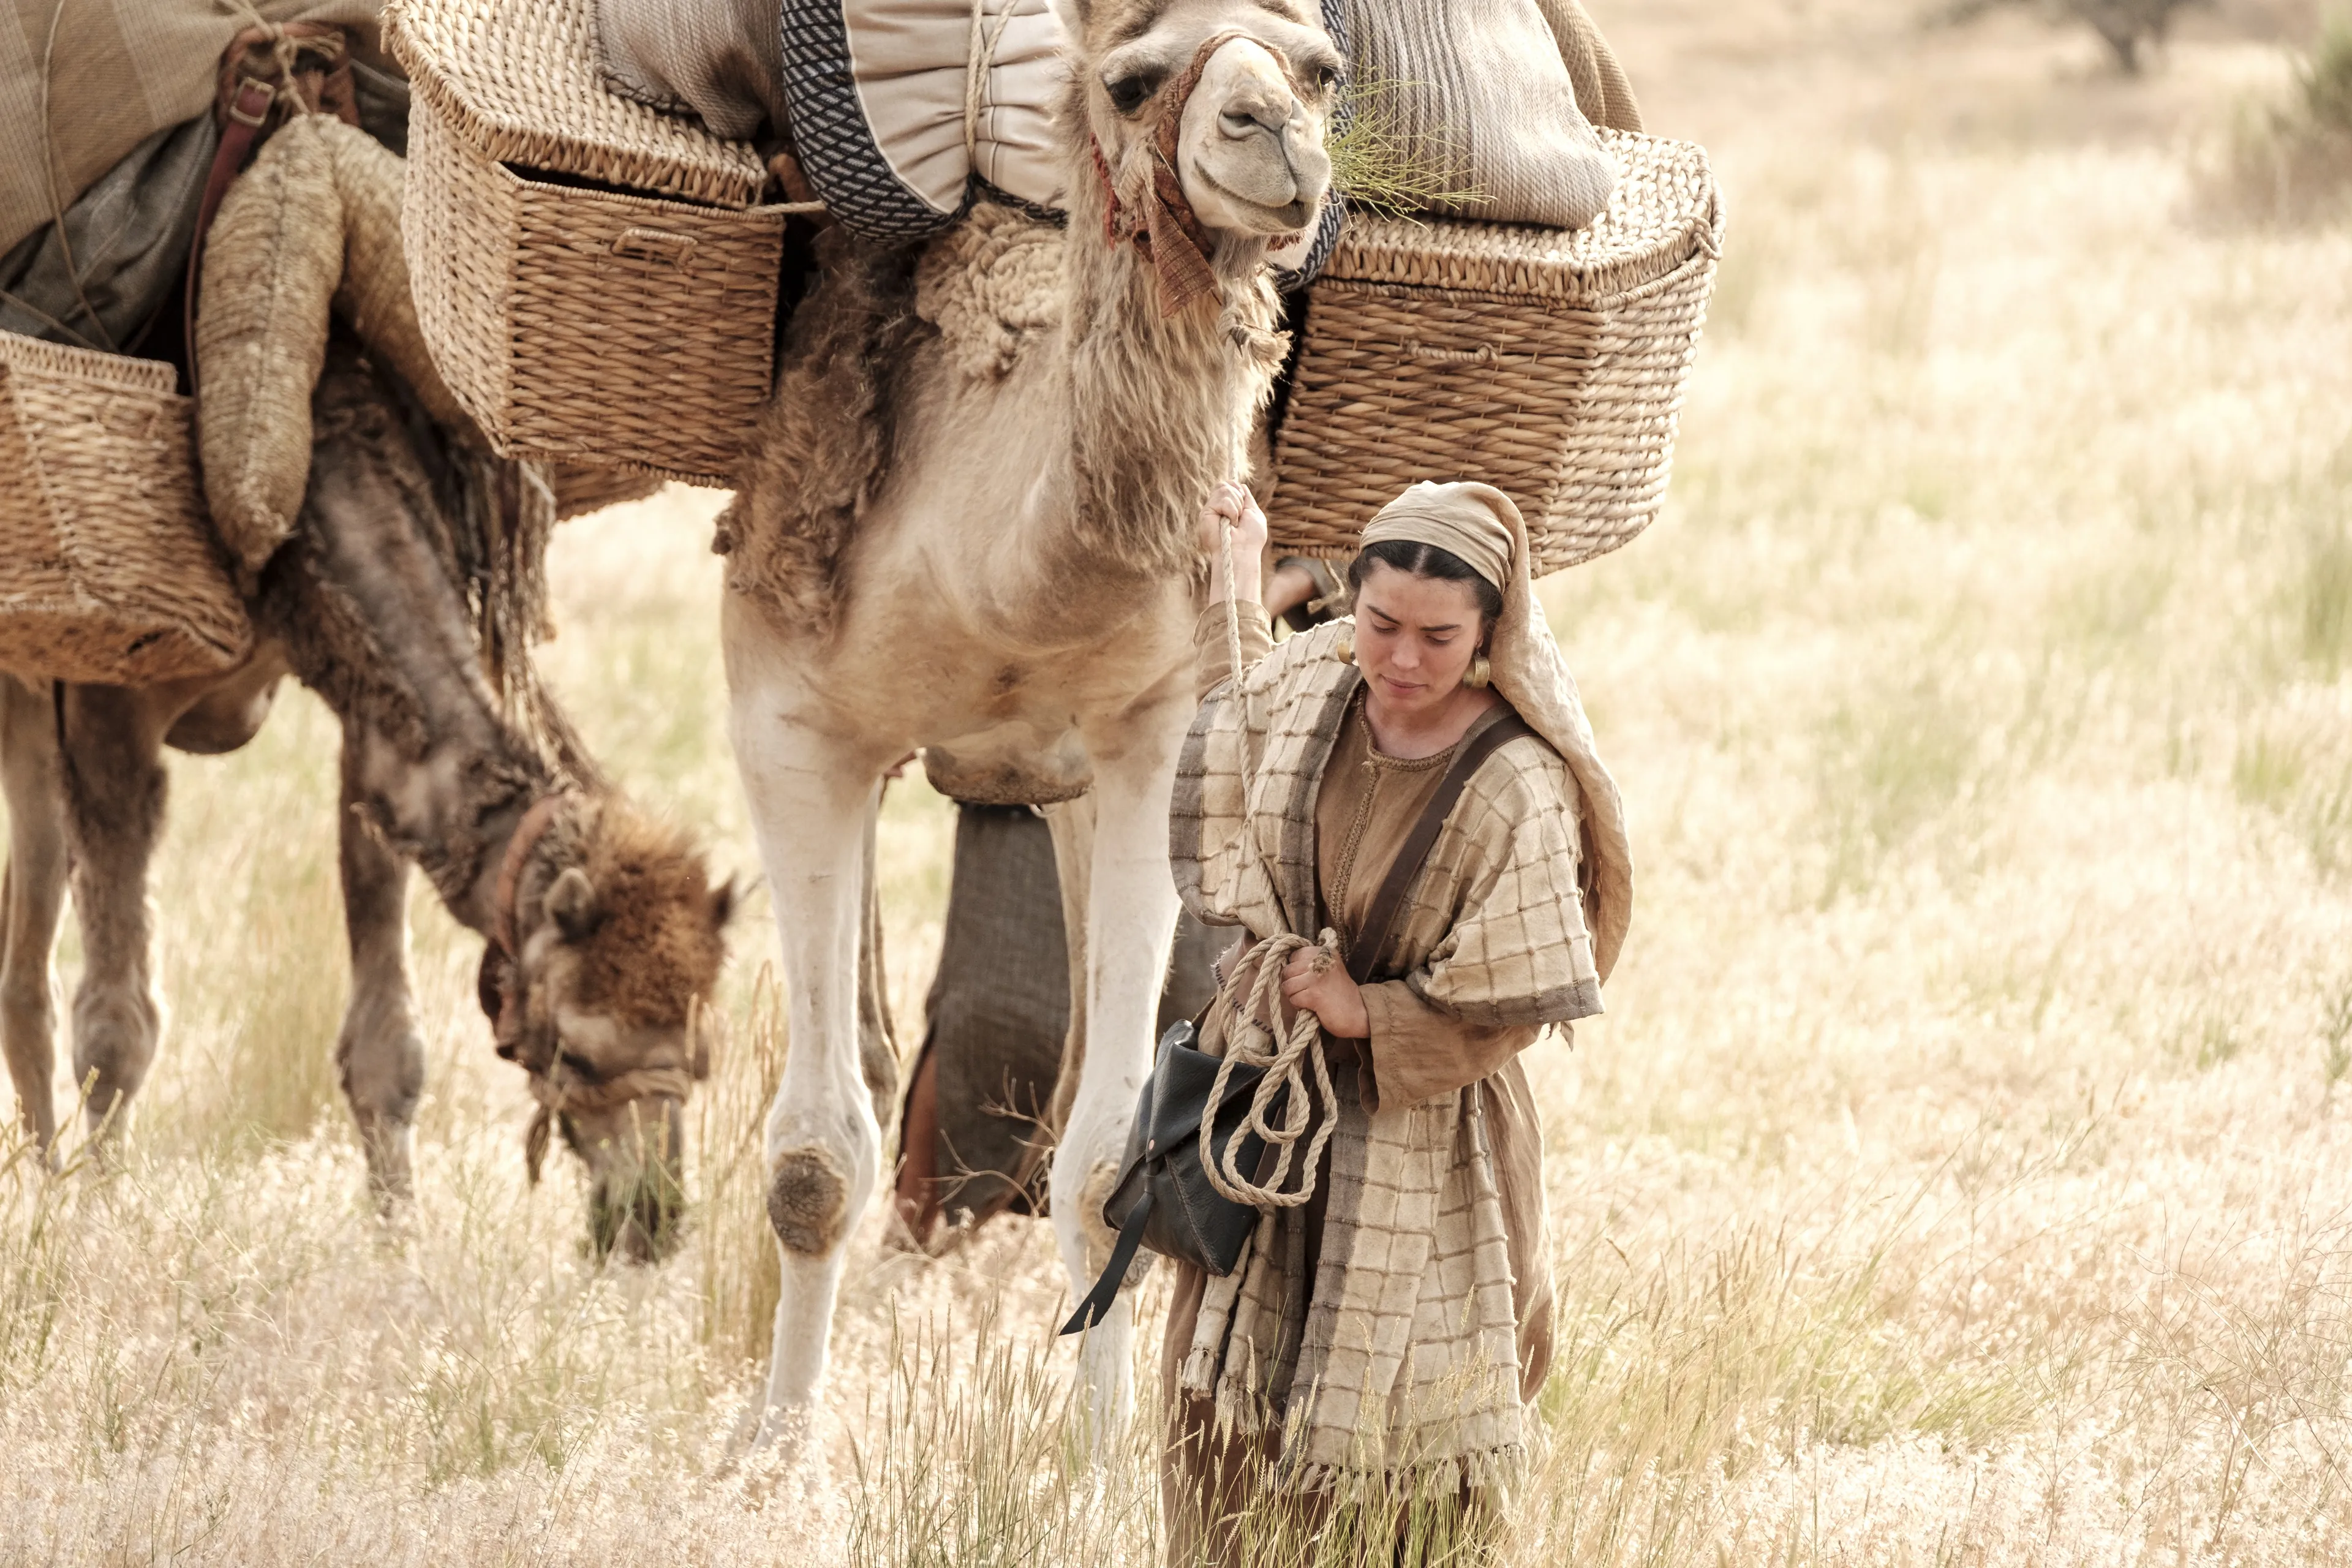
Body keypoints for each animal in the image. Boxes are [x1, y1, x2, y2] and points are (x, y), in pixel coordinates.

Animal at [0, 339, 734, 1261]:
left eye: (702, 1049)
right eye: (578, 1052)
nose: (652, 1216)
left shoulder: (373, 724)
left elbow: (391, 1040)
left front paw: (400, 1251)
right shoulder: (110, 696)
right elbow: (116, 1025)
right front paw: (93, 1235)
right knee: (32, 972)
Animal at [718, 0, 1340, 1440]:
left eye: (1324, 66)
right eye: (1133, 80)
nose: (1271, 134)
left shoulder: (1153, 734)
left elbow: (1113, 1163)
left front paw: (1107, 1460)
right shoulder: (788, 721)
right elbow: (814, 1161)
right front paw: (777, 1452)